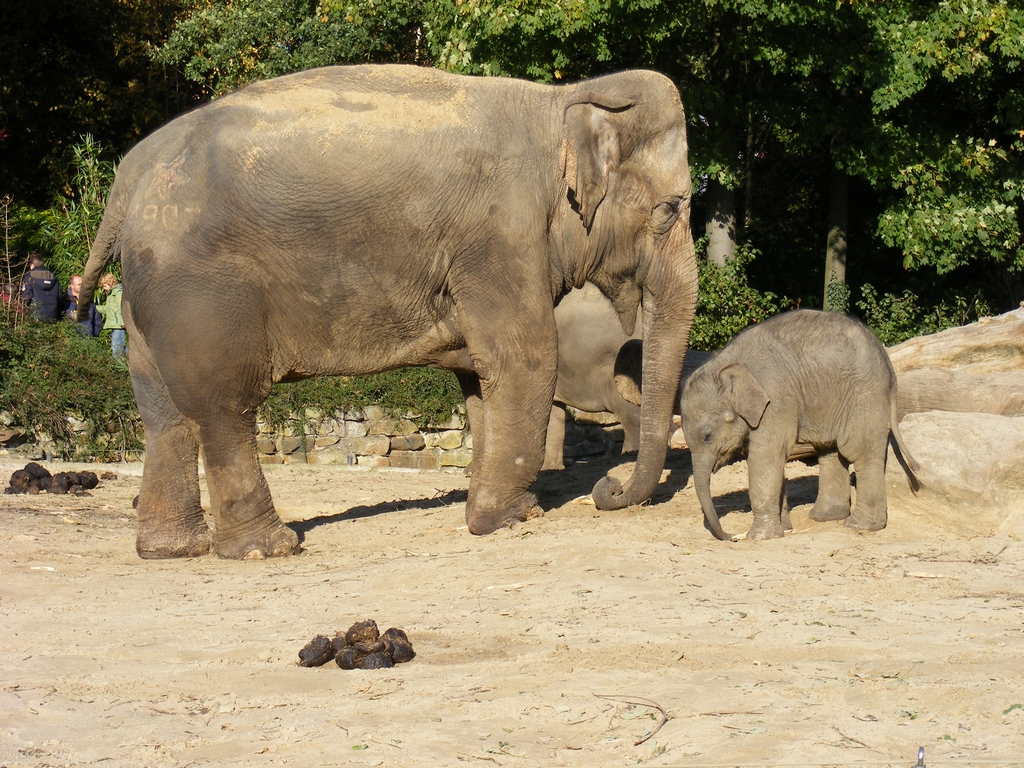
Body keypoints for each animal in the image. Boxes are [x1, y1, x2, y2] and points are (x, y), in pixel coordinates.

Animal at [77, 64, 696, 561]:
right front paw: (512, 519)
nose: (610, 490)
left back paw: (170, 550)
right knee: (224, 405)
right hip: (202, 291)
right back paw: (267, 548)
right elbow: (525, 357)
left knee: (163, 414)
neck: (563, 101)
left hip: (145, 300)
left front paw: (486, 505)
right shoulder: (501, 233)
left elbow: (479, 374)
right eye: (670, 209)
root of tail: (131, 176)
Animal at [679, 309, 921, 544]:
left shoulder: (776, 400)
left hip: (865, 395)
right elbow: (772, 460)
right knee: (830, 452)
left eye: (708, 435)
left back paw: (859, 526)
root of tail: (888, 366)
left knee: (860, 452)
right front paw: (784, 528)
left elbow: (765, 456)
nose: (729, 536)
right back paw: (825, 517)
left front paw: (759, 537)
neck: (725, 363)